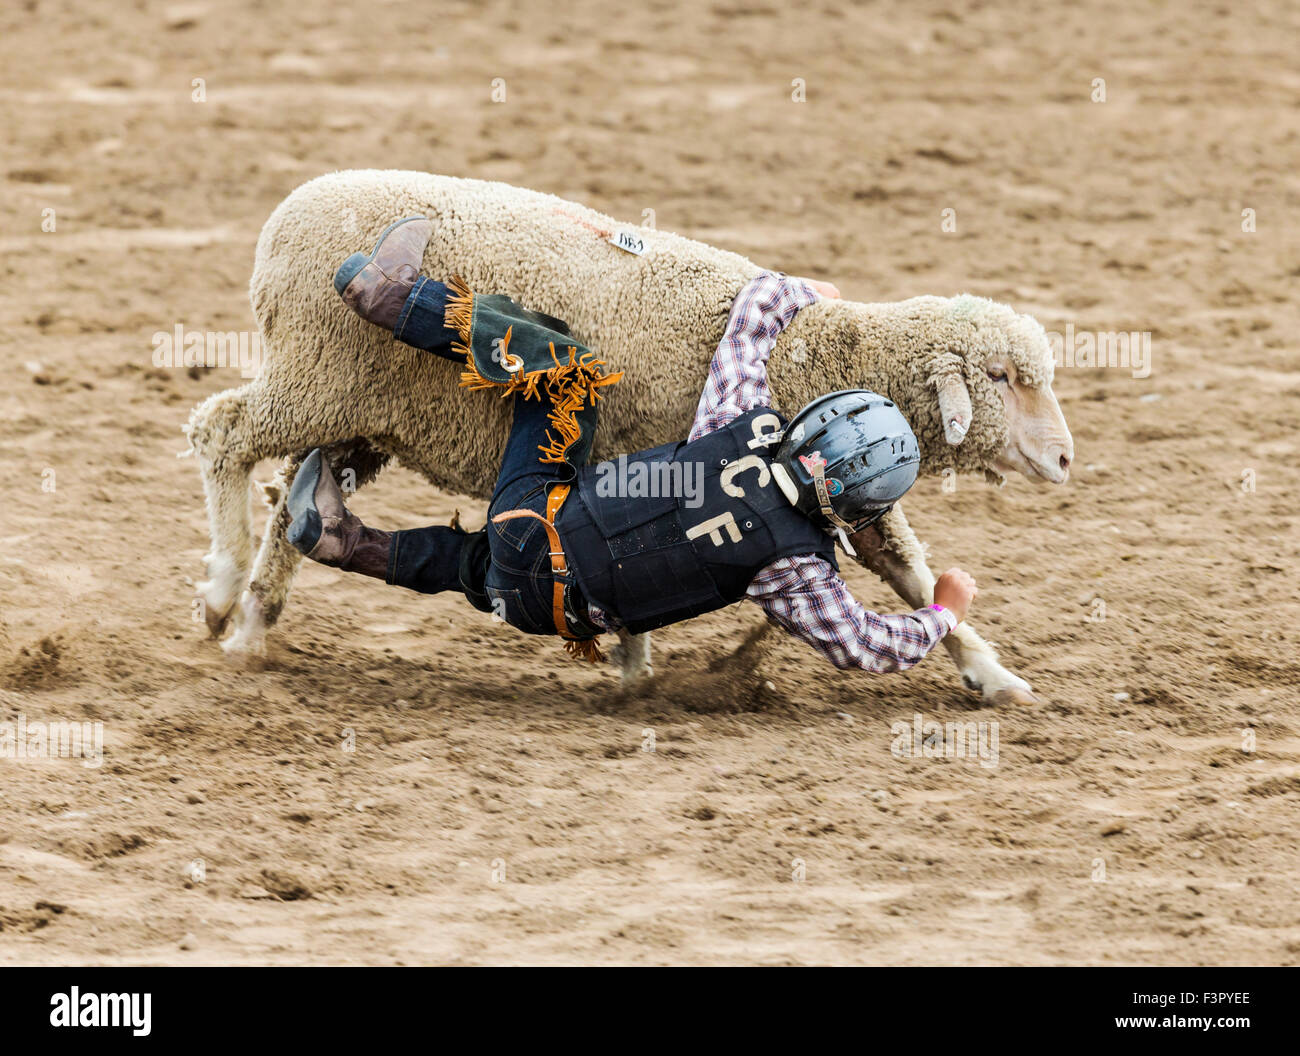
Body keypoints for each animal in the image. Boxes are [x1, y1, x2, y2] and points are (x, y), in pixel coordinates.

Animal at [185, 169, 1073, 706]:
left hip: (356, 410)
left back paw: (257, 620)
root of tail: (287, 215)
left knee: (294, 501)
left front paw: (992, 672)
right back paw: (224, 590)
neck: (820, 354)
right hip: (315, 375)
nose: (1066, 458)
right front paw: (632, 664)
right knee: (222, 434)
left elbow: (911, 578)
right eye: (1003, 377)